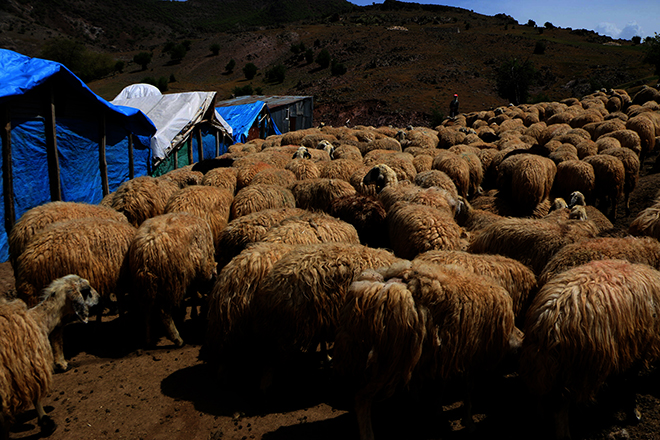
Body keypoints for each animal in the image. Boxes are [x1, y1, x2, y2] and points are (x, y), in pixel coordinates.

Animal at [0, 274, 99, 438]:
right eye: (86, 290)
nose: (99, 298)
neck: (38, 320)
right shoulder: (31, 365)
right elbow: (37, 397)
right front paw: (46, 423)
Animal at [129, 212, 219, 348]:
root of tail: (147, 249)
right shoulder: (195, 271)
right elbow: (193, 292)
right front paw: (194, 312)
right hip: (171, 282)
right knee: (164, 314)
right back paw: (178, 339)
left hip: (145, 287)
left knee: (146, 312)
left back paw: (149, 340)